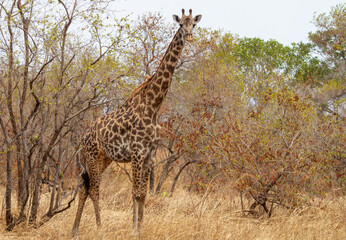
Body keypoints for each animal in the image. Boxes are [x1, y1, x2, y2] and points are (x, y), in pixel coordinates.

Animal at [72, 8, 203, 235]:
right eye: (180, 24)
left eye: (193, 24)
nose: (188, 36)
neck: (153, 106)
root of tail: (83, 137)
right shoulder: (136, 152)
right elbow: (135, 193)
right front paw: (133, 229)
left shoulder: (150, 154)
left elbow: (144, 193)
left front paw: (141, 227)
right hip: (92, 156)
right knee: (94, 190)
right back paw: (99, 228)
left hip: (103, 158)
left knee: (84, 187)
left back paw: (76, 230)